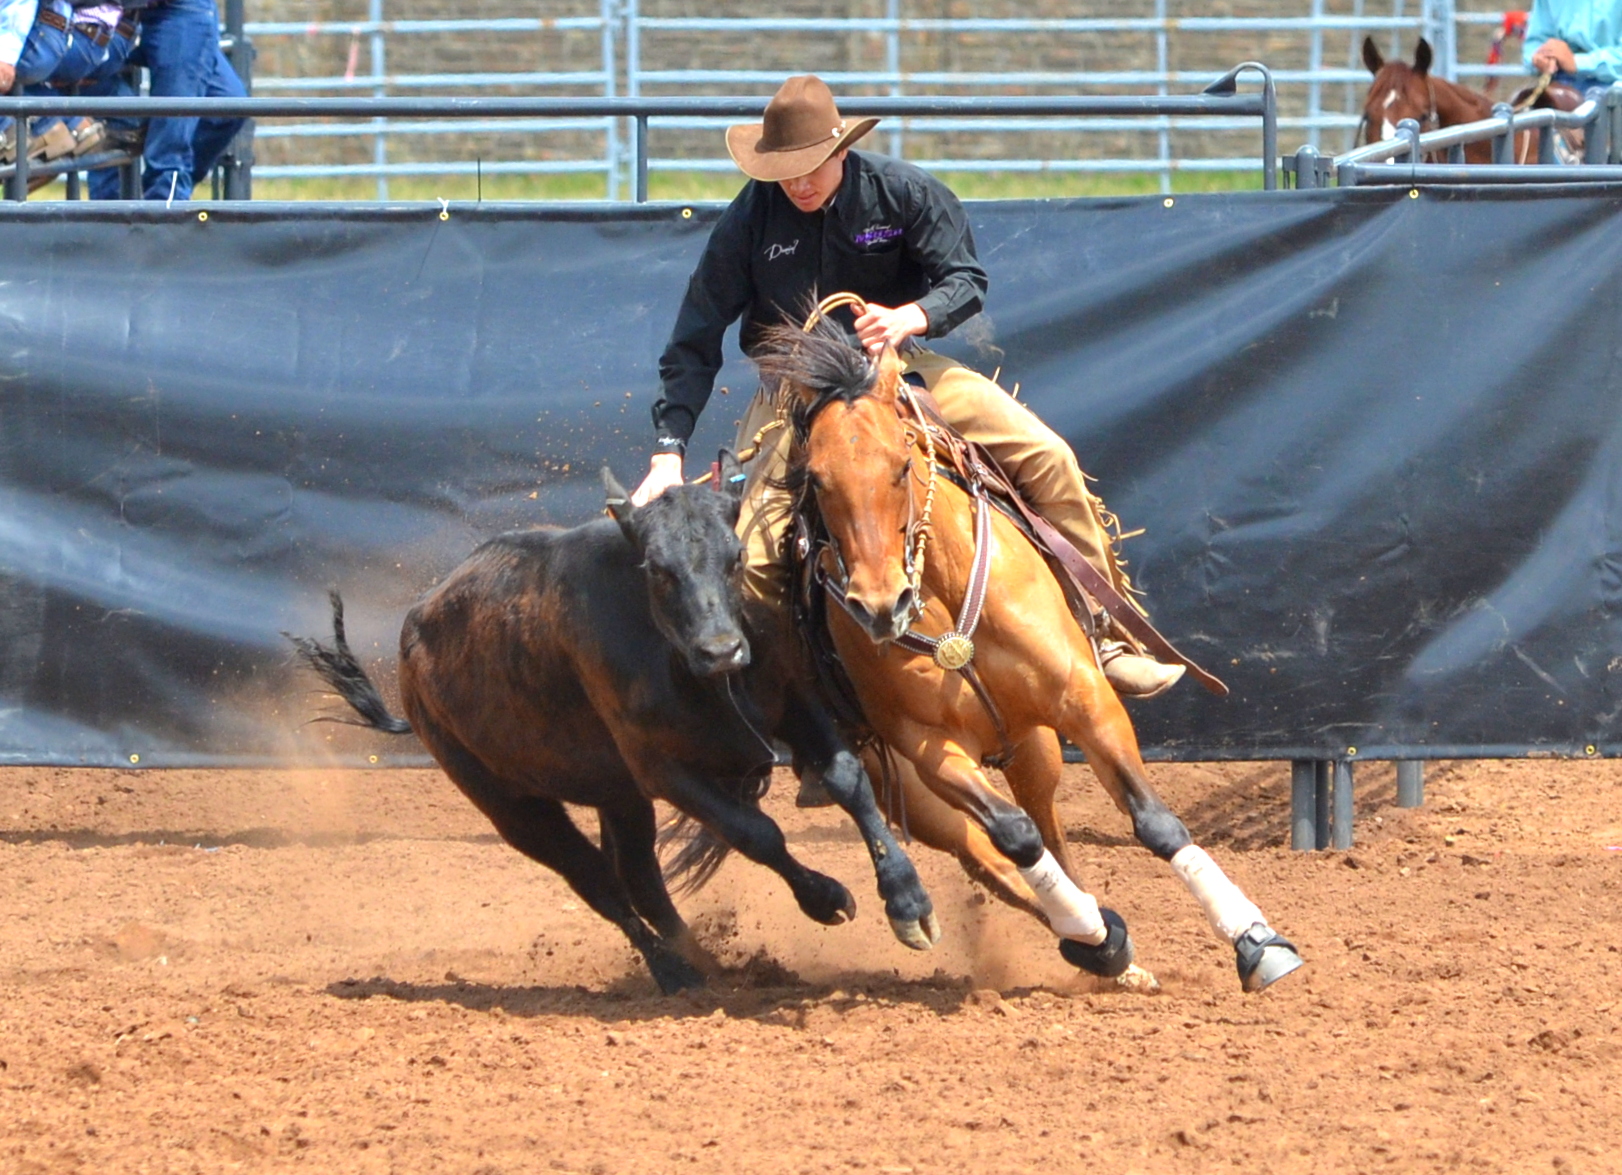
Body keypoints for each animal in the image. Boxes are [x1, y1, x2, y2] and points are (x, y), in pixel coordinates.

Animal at [285, 464, 934, 993]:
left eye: (735, 557)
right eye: (658, 570)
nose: (722, 650)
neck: (686, 668)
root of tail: (412, 635)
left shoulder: (793, 706)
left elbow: (848, 779)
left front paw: (908, 901)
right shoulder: (661, 769)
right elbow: (758, 834)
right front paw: (826, 898)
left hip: (616, 796)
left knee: (642, 879)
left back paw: (705, 965)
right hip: (510, 805)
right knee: (600, 883)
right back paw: (673, 972)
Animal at [759, 309, 1304, 993]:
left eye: (901, 465)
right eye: (816, 479)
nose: (880, 606)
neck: (945, 604)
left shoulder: (1085, 701)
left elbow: (1154, 821)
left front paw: (1257, 942)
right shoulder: (926, 746)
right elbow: (1013, 838)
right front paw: (1094, 930)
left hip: (1033, 746)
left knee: (1050, 831)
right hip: (911, 787)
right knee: (990, 857)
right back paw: (1092, 938)